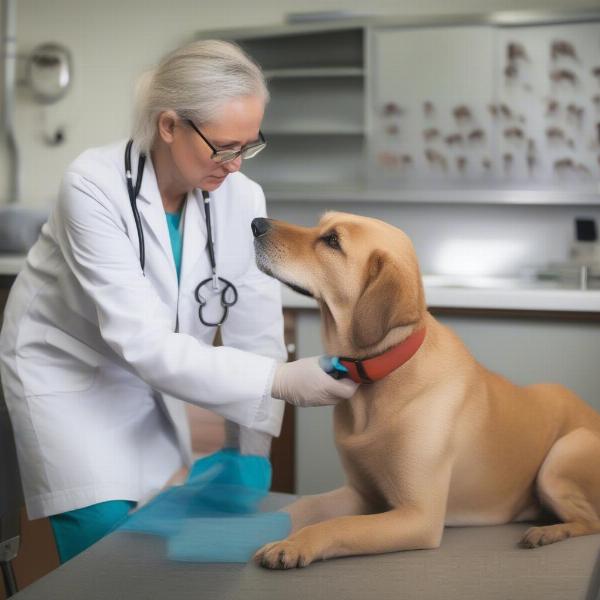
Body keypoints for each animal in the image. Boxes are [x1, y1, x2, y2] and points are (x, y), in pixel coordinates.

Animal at [251, 213, 600, 568]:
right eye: (320, 223)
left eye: (333, 241)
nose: (256, 224)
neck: (385, 373)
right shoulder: (361, 493)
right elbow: (302, 506)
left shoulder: (418, 516)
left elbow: (338, 525)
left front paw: (295, 545)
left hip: (561, 455)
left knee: (591, 521)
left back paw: (546, 532)